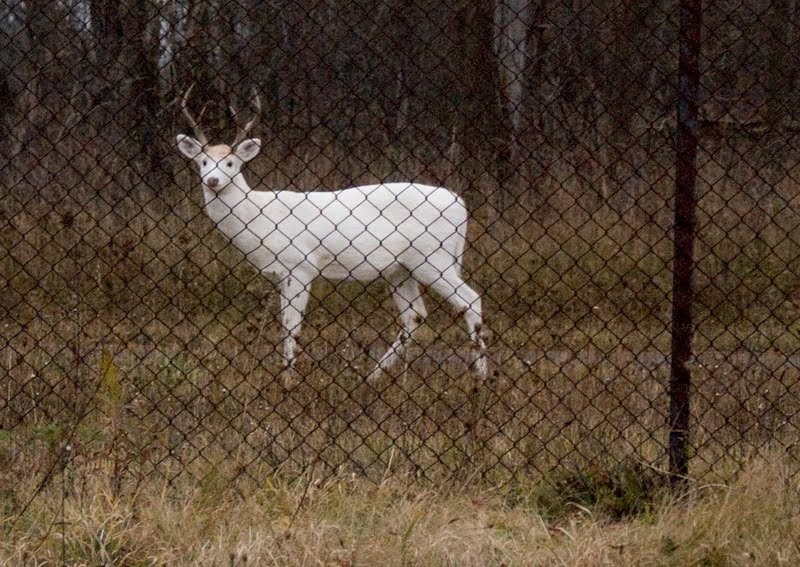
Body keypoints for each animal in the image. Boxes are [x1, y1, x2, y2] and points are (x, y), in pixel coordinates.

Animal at [176, 86, 487, 382]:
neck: (260, 217)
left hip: (433, 258)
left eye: (230, 163)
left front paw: (288, 377)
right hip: (402, 268)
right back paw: (373, 376)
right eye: (203, 162)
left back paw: (481, 376)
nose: (212, 180)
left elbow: (292, 325)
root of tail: (460, 203)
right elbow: (285, 324)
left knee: (470, 300)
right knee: (415, 316)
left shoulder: (301, 265)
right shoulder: (281, 274)